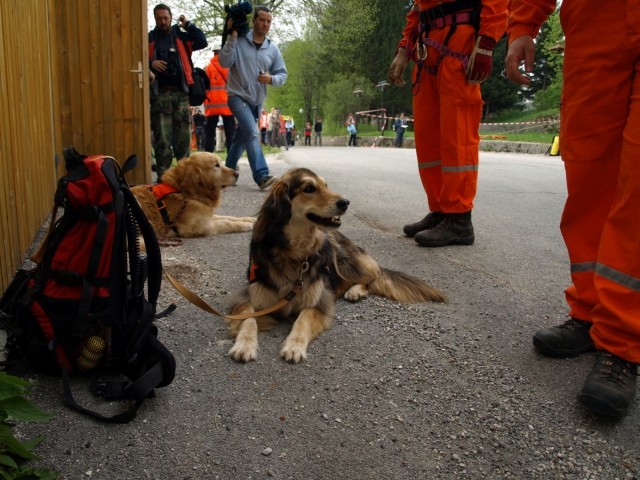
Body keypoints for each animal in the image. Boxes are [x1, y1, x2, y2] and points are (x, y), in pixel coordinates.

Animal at [228, 169, 448, 364]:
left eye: (326, 185)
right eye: (309, 188)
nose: (346, 202)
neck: (293, 251)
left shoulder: (318, 301)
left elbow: (302, 320)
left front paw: (294, 347)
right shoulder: (247, 298)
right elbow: (248, 319)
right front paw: (244, 345)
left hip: (344, 260)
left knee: (372, 276)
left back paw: (355, 291)